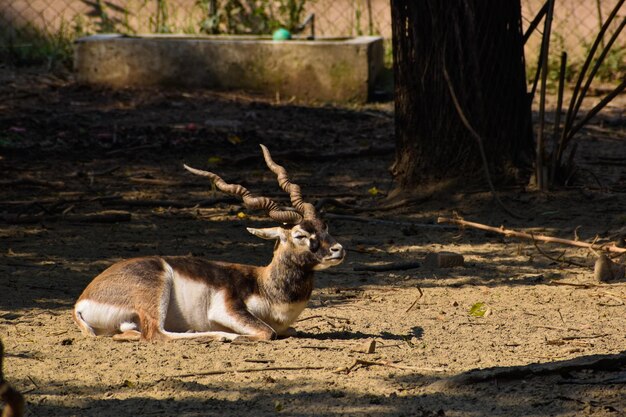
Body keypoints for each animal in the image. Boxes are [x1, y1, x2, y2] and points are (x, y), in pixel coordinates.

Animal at [75, 145, 346, 340]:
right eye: (300, 235)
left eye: (325, 226)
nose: (338, 249)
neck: (263, 284)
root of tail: (82, 300)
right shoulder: (227, 309)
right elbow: (267, 332)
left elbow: (290, 330)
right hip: (156, 288)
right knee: (156, 334)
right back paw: (223, 336)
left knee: (131, 333)